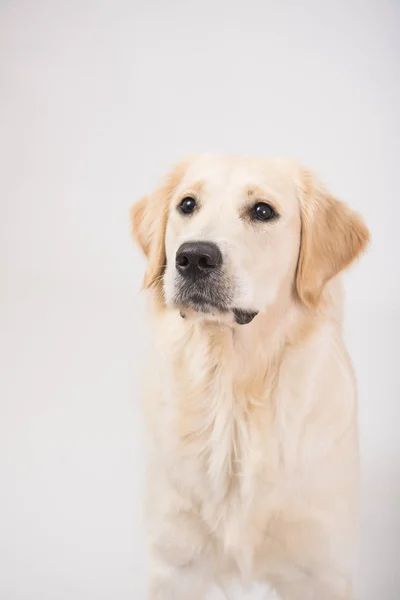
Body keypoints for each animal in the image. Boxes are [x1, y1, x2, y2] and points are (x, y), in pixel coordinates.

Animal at [131, 156, 368, 600]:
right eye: (187, 204)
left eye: (262, 210)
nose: (194, 257)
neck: (234, 388)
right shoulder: (174, 566)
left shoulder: (322, 571)